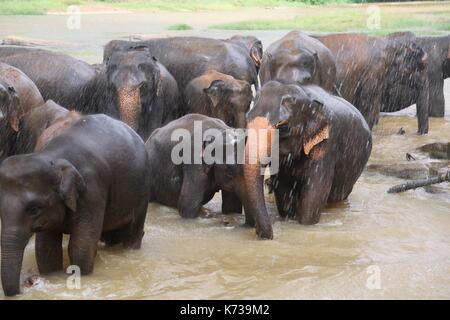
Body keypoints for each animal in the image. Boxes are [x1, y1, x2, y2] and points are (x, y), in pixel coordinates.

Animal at [0, 114, 151, 296]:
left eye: (34, 209)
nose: (26, 285)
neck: (53, 158)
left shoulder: (92, 190)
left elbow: (81, 247)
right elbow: (46, 249)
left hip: (142, 188)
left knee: (134, 231)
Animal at [248, 80, 370, 225]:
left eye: (283, 127)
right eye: (247, 120)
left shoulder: (326, 144)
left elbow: (315, 192)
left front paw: (305, 224)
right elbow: (283, 187)